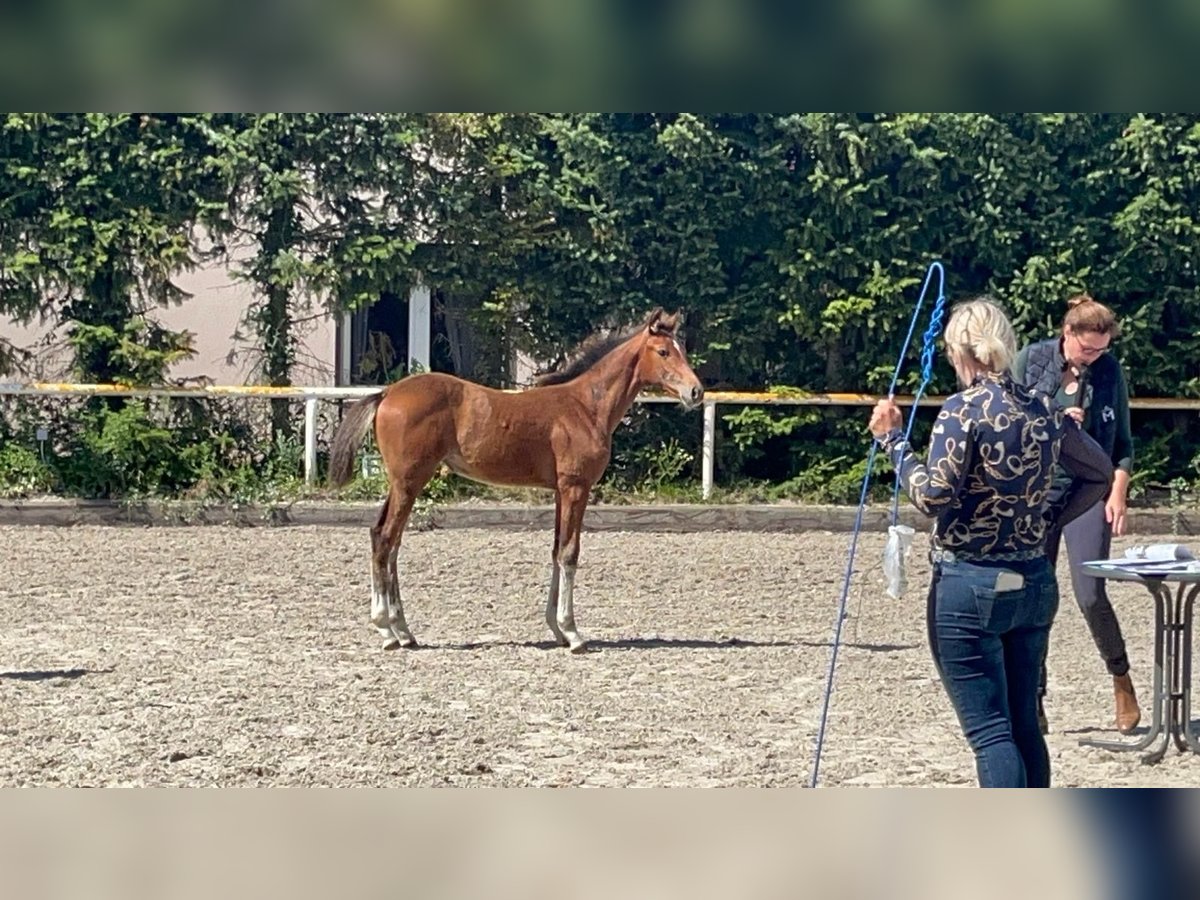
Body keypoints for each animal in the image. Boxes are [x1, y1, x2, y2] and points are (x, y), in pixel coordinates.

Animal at [326, 309, 700, 657]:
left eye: (682, 349)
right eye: (664, 351)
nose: (696, 391)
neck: (585, 407)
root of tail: (387, 392)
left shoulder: (561, 493)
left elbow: (556, 550)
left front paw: (557, 629)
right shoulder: (576, 488)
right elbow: (569, 553)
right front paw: (573, 633)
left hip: (403, 484)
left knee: (387, 540)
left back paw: (404, 631)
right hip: (409, 481)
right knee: (386, 540)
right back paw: (387, 631)